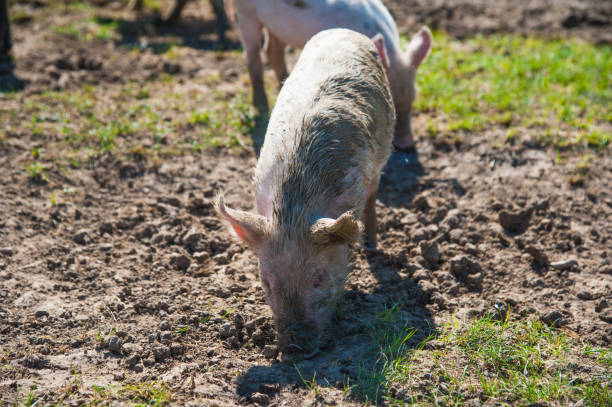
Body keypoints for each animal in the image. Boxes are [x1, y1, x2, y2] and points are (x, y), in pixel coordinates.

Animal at [218, 28, 394, 356]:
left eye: (318, 279)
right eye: (267, 282)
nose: (296, 348)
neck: (295, 210)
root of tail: (342, 30)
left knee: (373, 197)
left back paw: (372, 244)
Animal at [227, 0, 432, 151]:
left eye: (413, 98)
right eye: (392, 102)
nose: (407, 144)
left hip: (276, 26)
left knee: (272, 50)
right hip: (246, 13)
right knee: (252, 54)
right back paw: (261, 105)